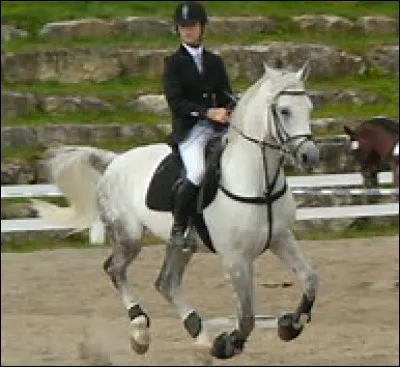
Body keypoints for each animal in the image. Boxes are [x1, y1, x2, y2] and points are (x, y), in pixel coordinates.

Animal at [35, 62, 322, 360]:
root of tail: (115, 161)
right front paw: (227, 344)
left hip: (182, 244)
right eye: (284, 111)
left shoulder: (281, 238)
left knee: (166, 282)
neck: (257, 182)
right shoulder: (235, 258)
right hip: (129, 237)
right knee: (115, 270)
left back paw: (197, 331)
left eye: (309, 108)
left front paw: (290, 325)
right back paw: (141, 332)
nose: (310, 157)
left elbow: (310, 279)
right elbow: (246, 316)